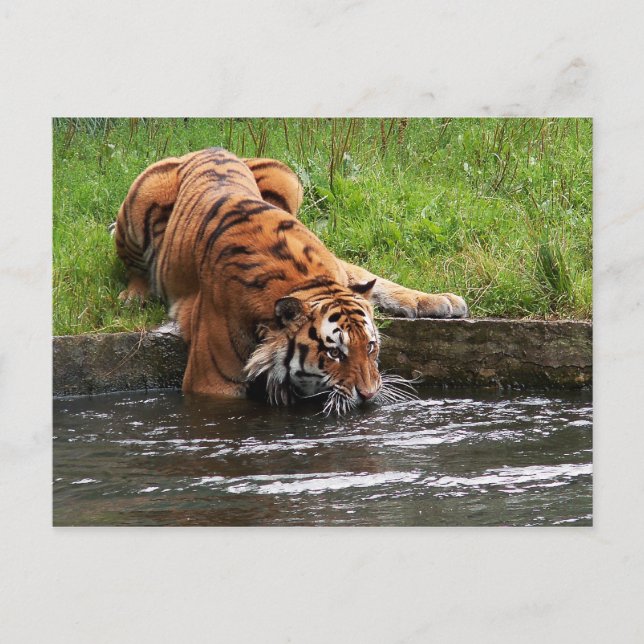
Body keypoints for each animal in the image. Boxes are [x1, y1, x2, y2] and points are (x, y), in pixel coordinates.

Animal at [114, 147, 467, 414]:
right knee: (135, 268)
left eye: (370, 346)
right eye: (334, 354)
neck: (308, 281)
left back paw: (443, 301)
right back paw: (134, 296)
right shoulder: (210, 382)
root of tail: (207, 148)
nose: (368, 396)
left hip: (287, 178)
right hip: (138, 202)